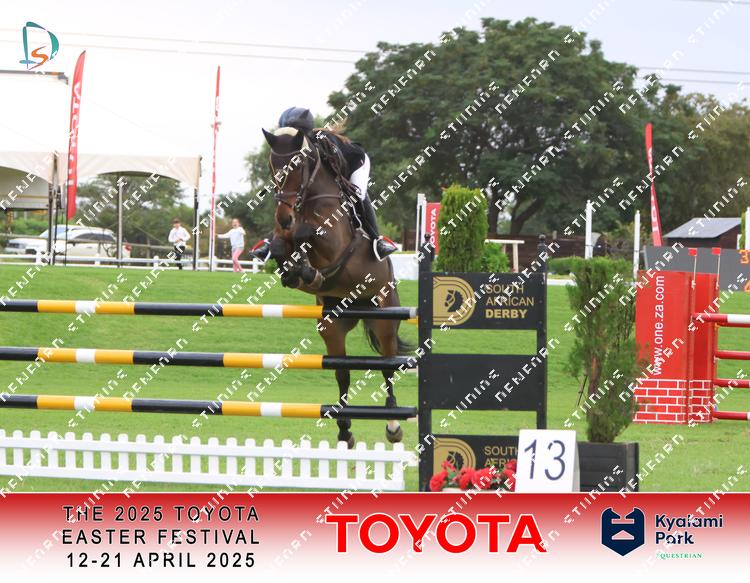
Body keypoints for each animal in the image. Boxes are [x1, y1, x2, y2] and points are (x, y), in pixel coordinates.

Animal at [262, 126, 411, 447]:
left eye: (297, 167)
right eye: (272, 168)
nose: (284, 216)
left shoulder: (333, 240)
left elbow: (307, 233)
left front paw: (306, 268)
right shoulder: (283, 236)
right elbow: (281, 246)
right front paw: (298, 272)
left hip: (385, 317)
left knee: (388, 366)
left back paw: (393, 425)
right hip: (331, 325)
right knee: (342, 372)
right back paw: (344, 429)